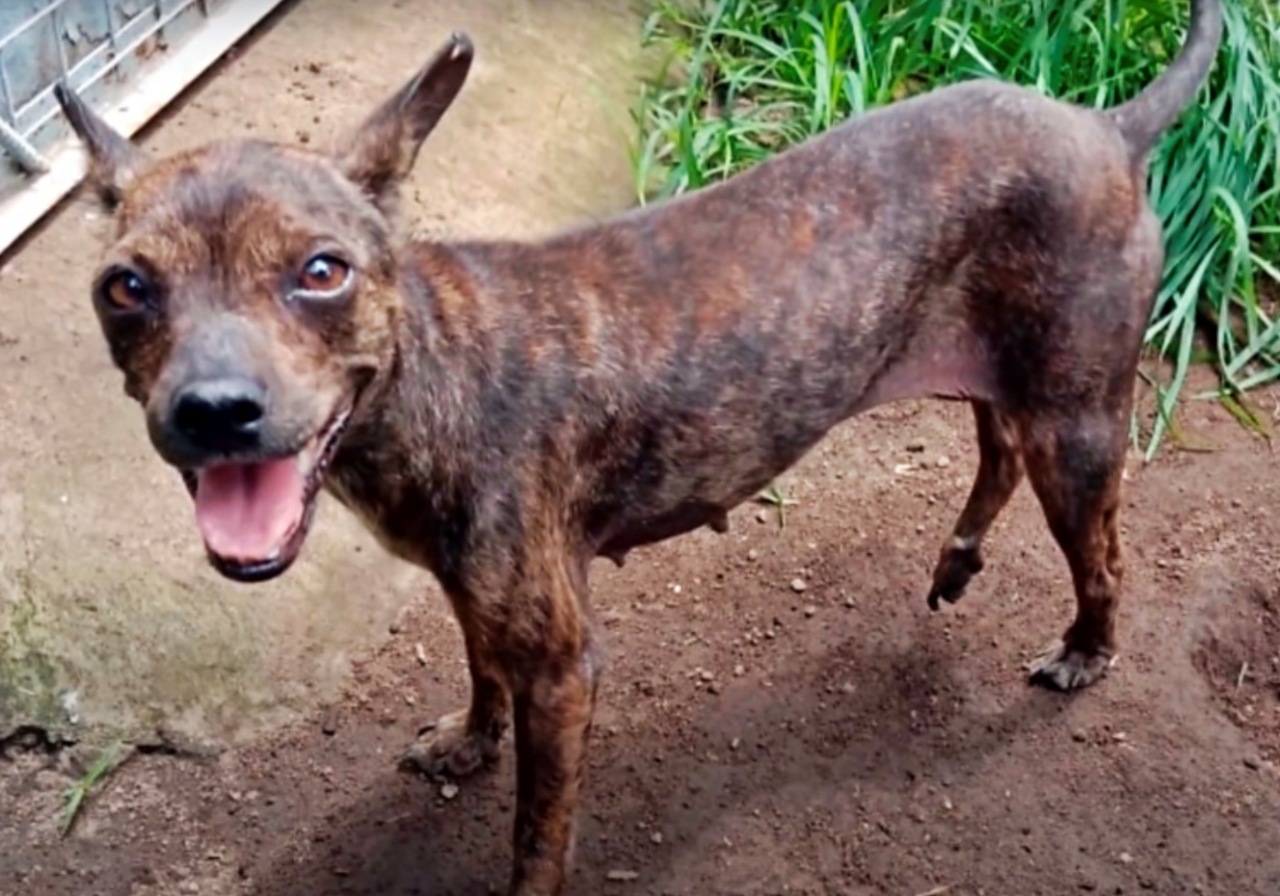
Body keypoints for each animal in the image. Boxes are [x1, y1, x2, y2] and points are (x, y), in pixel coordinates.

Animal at [57, 3, 1218, 890]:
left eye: (321, 271)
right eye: (125, 286)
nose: (215, 409)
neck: (432, 375)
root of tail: (1108, 125)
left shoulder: (563, 665)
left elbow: (537, 832)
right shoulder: (476, 592)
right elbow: (477, 668)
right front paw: (469, 740)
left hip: (1076, 421)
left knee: (1100, 551)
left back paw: (1085, 650)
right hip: (1002, 377)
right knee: (996, 451)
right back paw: (960, 556)